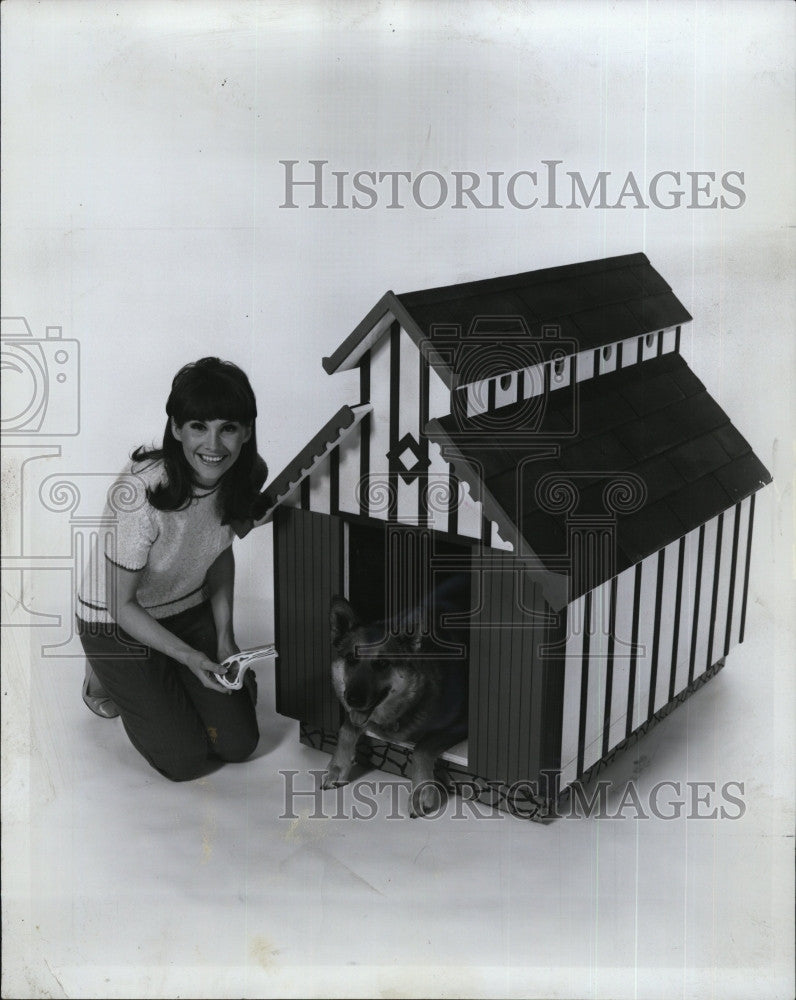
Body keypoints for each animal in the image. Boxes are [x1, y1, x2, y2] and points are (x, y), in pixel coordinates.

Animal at [324, 584, 470, 816]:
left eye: (383, 663)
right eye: (350, 659)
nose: (353, 699)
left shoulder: (461, 724)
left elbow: (422, 747)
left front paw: (421, 791)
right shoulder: (357, 716)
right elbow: (346, 728)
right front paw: (338, 767)